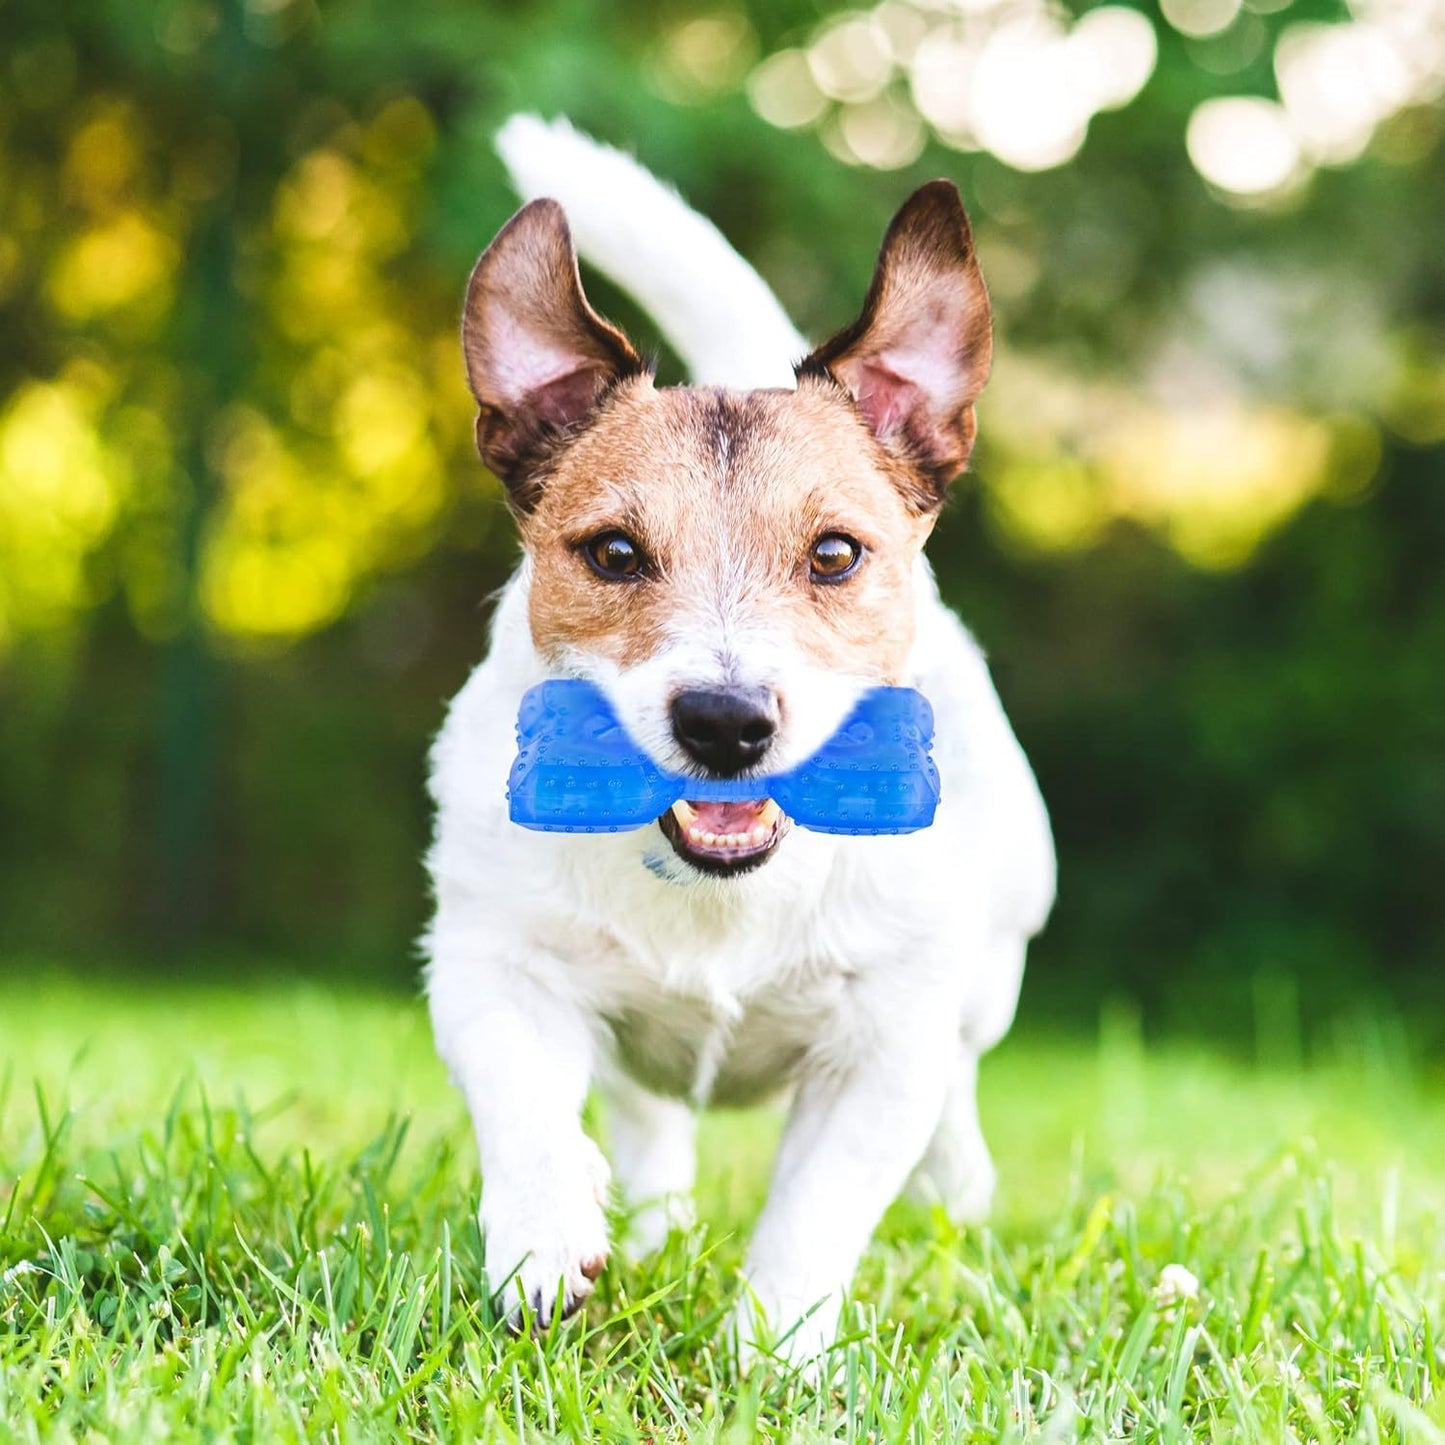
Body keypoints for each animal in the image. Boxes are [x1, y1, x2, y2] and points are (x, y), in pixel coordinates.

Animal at [421, 115, 1057, 1364]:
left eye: (834, 553)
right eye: (613, 553)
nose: (724, 721)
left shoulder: (882, 1043)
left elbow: (817, 1204)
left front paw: (775, 1348)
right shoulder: (486, 957)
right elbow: (523, 1100)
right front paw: (542, 1235)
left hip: (992, 963)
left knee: (959, 1086)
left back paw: (954, 1194)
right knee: (644, 1112)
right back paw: (648, 1218)